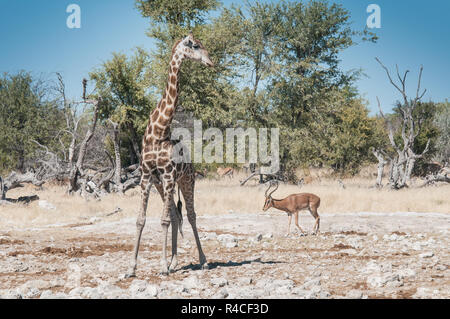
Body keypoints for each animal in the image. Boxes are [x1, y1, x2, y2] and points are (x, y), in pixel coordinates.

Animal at [125, 33, 213, 278]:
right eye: (196, 46)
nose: (210, 62)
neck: (158, 131)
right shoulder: (147, 177)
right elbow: (141, 220)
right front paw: (131, 268)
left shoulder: (167, 175)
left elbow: (163, 220)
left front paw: (162, 266)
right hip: (163, 185)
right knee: (176, 215)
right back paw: (174, 262)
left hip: (185, 181)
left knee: (190, 215)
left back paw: (203, 261)